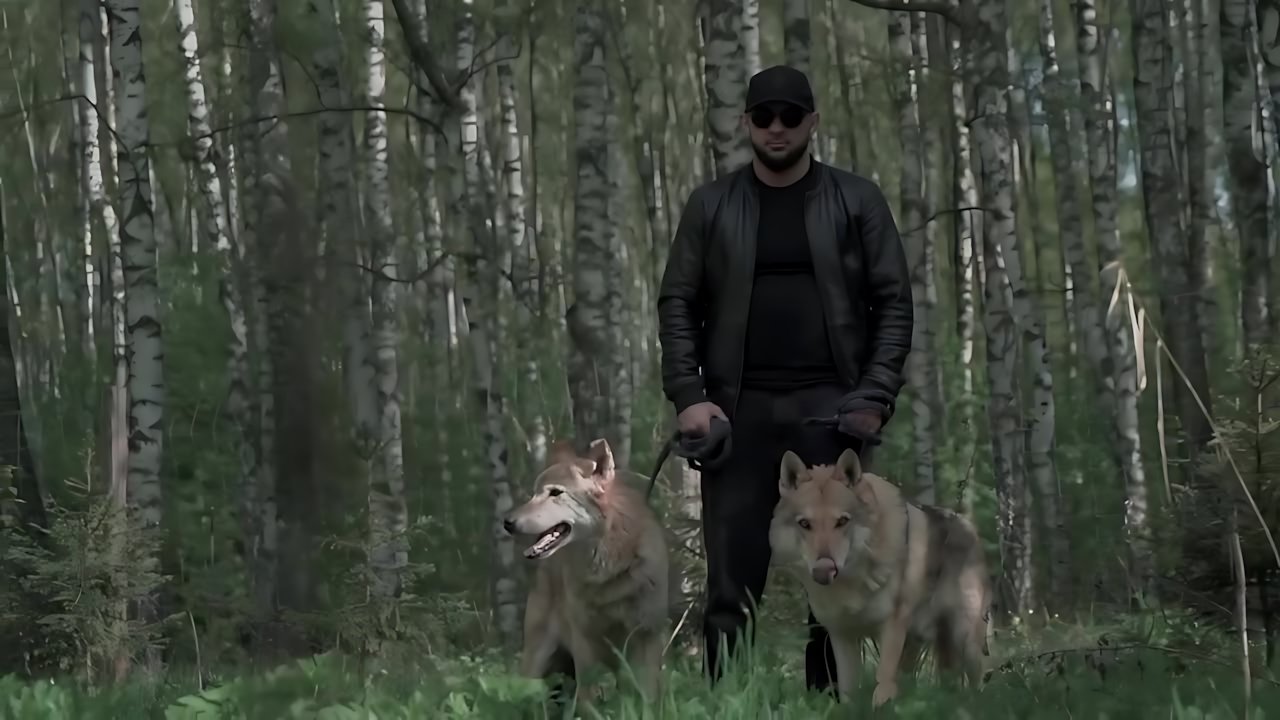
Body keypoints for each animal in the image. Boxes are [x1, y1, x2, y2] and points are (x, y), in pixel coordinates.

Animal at [502, 437, 670, 709]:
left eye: (555, 493)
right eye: (534, 493)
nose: (507, 522)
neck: (607, 569)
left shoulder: (647, 637)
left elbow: (647, 698)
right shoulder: (584, 643)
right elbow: (588, 702)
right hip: (537, 661)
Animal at [768, 448, 991, 708]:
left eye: (842, 521)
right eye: (805, 524)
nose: (824, 569)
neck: (851, 582)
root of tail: (969, 526)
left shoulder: (891, 629)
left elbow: (883, 680)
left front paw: (881, 709)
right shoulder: (841, 636)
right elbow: (848, 689)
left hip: (964, 639)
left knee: (977, 679)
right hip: (921, 644)